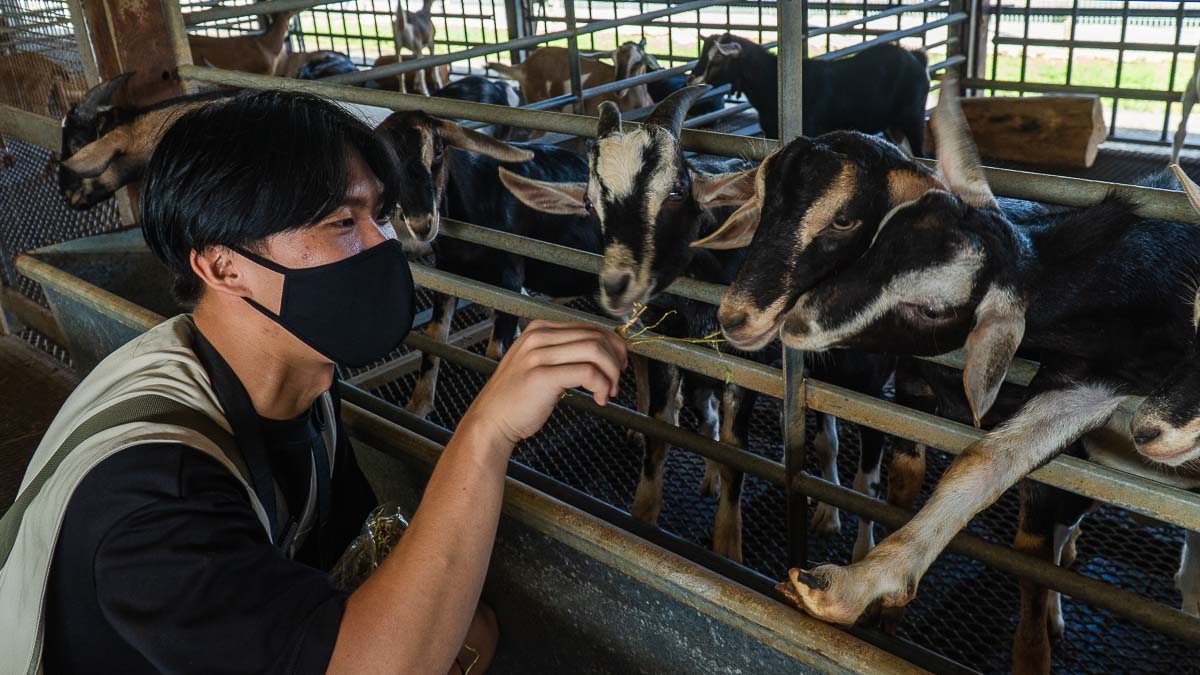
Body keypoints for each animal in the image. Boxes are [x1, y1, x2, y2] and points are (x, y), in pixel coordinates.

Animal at [372, 110, 600, 415]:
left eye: (439, 149)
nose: (422, 225)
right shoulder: (449, 274)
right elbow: (435, 338)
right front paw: (418, 405)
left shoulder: (510, 283)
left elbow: (494, 356)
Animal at [691, 32, 931, 152]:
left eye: (717, 59)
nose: (692, 78)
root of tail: (917, 58)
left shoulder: (809, 132)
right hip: (894, 126)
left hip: (913, 119)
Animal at [772, 79, 1200, 672]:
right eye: (880, 238)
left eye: (933, 310)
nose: (797, 321)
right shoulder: (1087, 377)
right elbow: (986, 461)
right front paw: (851, 586)